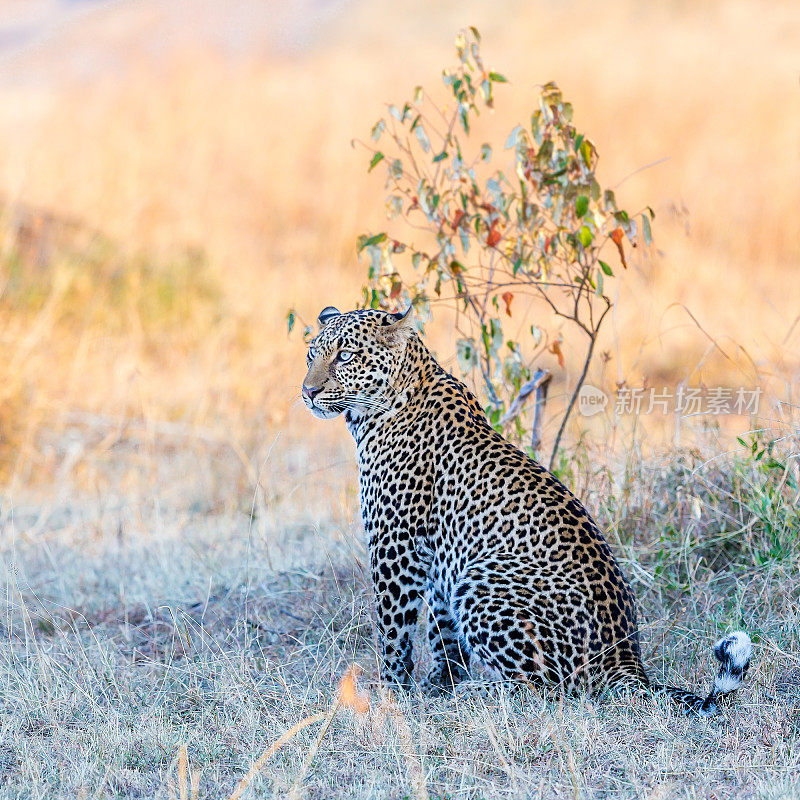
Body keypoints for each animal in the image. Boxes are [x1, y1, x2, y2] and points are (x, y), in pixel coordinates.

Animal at [298, 304, 752, 716]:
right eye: (311, 355)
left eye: (345, 356)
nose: (308, 392)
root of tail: (626, 660)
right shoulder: (441, 557)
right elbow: (442, 631)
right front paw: (437, 685)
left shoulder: (395, 545)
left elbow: (394, 628)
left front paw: (391, 691)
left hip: (484, 577)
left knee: (547, 688)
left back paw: (478, 695)